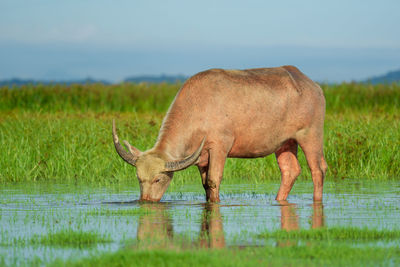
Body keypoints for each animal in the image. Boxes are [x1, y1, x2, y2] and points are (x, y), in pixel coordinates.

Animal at [112, 66, 328, 203]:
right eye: (139, 178)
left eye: (158, 179)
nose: (145, 201)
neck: (198, 108)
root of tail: (314, 86)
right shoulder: (201, 158)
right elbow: (205, 185)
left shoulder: (220, 148)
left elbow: (214, 181)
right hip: (286, 143)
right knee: (290, 170)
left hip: (311, 136)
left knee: (318, 170)